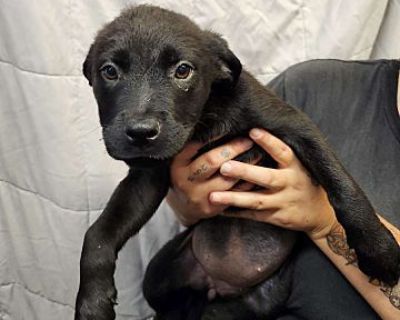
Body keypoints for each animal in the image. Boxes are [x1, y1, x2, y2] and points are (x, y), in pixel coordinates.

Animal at [76, 5, 400, 320]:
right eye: (109, 71)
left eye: (183, 70)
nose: (141, 133)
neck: (206, 118)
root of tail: (216, 286)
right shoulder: (147, 177)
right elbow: (99, 233)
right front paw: (93, 302)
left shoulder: (295, 126)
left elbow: (342, 184)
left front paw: (378, 251)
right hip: (158, 277)